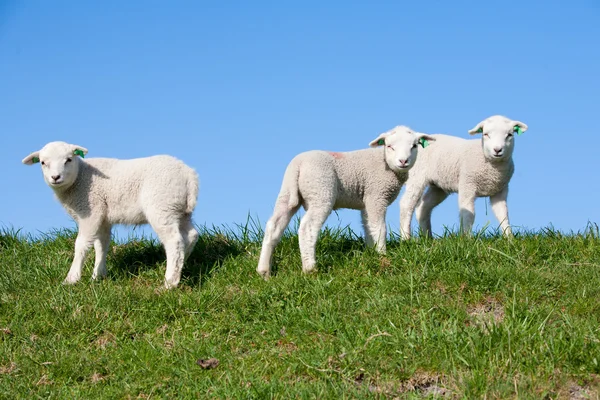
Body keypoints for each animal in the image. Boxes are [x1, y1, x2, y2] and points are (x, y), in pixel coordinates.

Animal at [21, 141, 199, 288]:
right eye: (43, 163)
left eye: (69, 160)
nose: (55, 177)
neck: (80, 177)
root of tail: (189, 176)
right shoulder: (103, 217)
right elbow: (101, 245)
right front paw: (98, 276)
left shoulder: (91, 211)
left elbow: (81, 244)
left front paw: (71, 279)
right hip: (179, 209)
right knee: (191, 235)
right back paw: (180, 265)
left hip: (162, 205)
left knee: (174, 241)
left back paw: (169, 282)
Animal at [255, 125, 434, 278]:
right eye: (390, 146)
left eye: (414, 146)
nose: (403, 161)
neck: (384, 162)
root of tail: (298, 164)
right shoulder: (376, 196)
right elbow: (379, 228)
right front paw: (382, 254)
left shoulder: (366, 201)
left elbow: (368, 227)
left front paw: (372, 253)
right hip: (321, 191)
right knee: (307, 227)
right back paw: (310, 268)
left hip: (287, 194)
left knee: (273, 226)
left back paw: (264, 271)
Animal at [400, 113, 528, 238]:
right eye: (485, 134)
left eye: (510, 135)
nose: (497, 150)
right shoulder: (467, 184)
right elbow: (468, 213)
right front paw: (467, 238)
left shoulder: (500, 191)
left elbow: (503, 214)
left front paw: (509, 238)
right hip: (416, 177)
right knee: (406, 205)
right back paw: (406, 237)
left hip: (439, 186)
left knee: (423, 206)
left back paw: (427, 237)